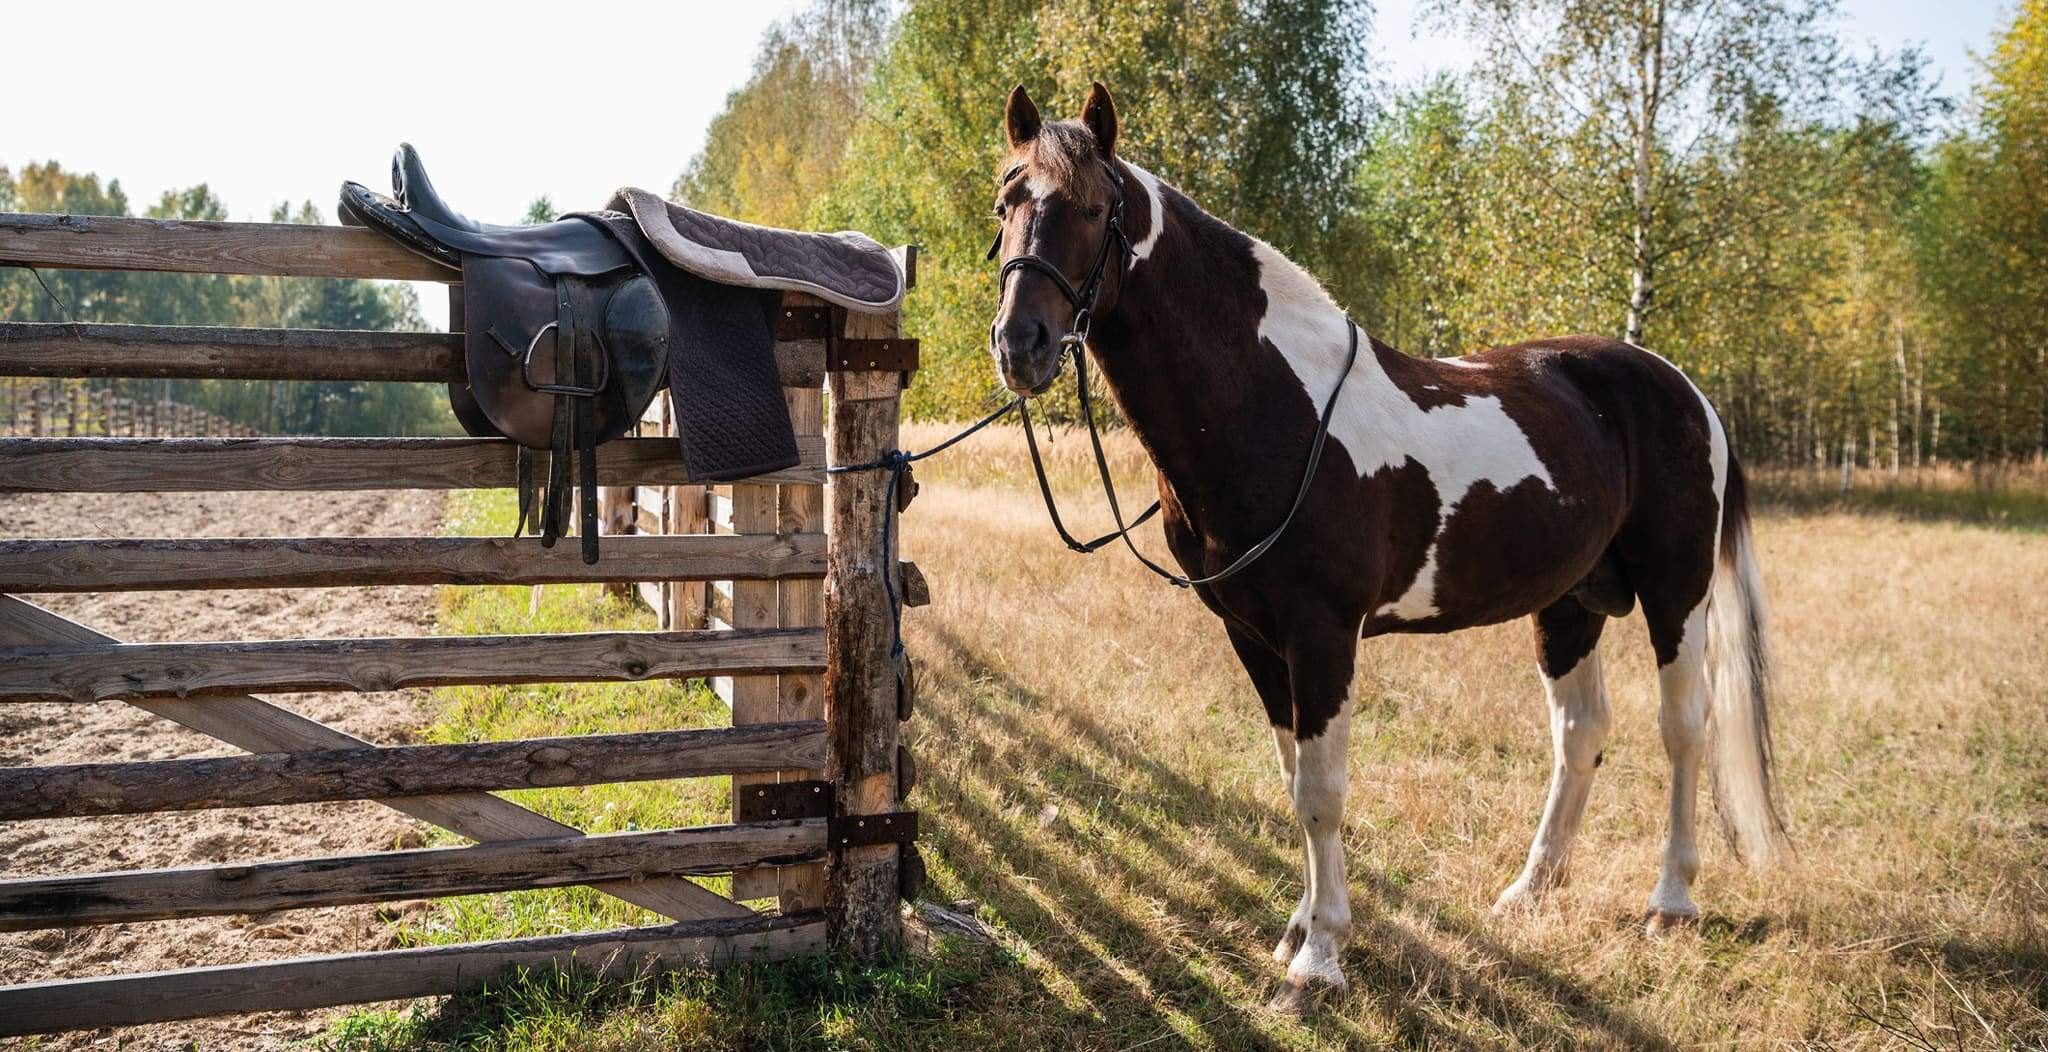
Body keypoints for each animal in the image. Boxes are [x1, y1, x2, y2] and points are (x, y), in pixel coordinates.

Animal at [984, 82, 1785, 1012]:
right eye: (1006, 202)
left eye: (1090, 208)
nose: (1021, 345)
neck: (1273, 408)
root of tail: (1685, 391)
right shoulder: (1254, 636)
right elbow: (1293, 775)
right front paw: (1299, 926)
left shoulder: (1323, 632)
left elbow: (1323, 791)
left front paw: (1320, 958)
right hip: (1570, 604)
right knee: (1581, 732)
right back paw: (1529, 891)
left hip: (1675, 592)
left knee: (1684, 728)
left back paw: (1671, 901)